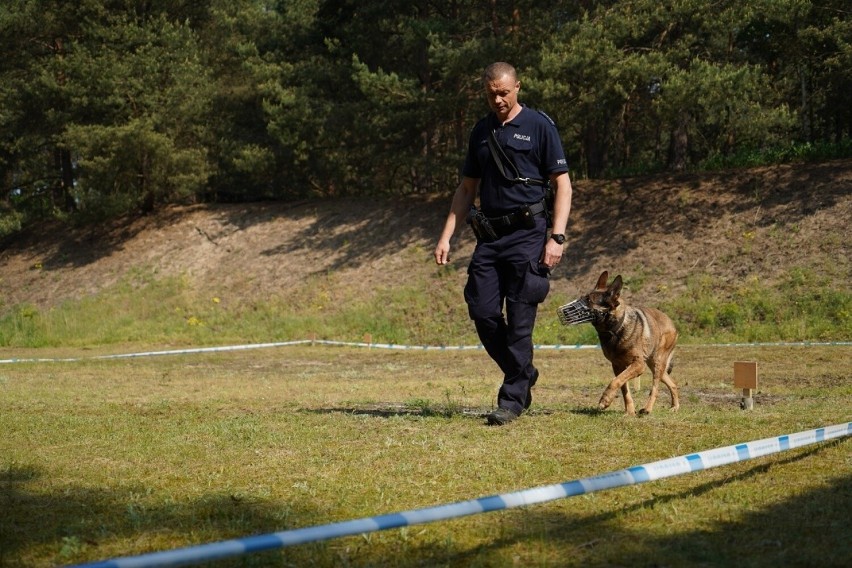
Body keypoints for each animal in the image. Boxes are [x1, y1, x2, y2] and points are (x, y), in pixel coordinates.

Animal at [560, 270, 680, 418]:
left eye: (589, 300)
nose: (564, 311)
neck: (614, 330)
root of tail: (671, 323)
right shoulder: (618, 366)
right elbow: (624, 389)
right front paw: (629, 412)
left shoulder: (638, 365)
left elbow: (615, 381)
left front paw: (605, 400)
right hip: (654, 365)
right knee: (672, 383)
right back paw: (675, 407)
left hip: (657, 363)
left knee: (655, 388)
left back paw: (647, 409)